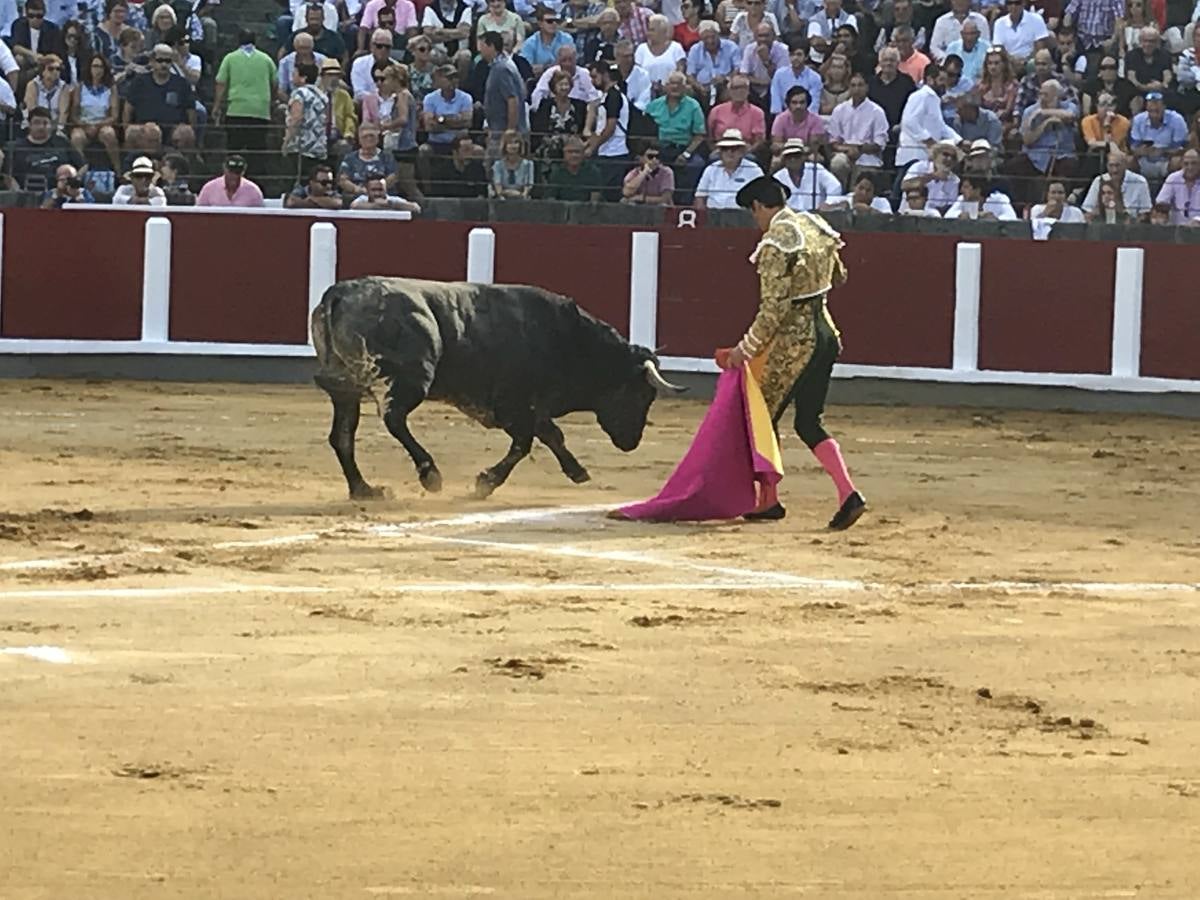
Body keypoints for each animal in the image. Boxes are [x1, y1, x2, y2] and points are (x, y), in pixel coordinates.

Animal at [309, 277, 686, 501]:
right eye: (642, 394)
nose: (631, 442)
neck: (568, 340)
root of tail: (339, 293)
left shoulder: (530, 406)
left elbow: (549, 436)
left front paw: (577, 472)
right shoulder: (512, 405)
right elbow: (527, 443)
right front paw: (486, 482)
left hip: (349, 389)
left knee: (343, 435)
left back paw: (364, 490)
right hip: (409, 380)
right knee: (394, 420)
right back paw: (431, 475)